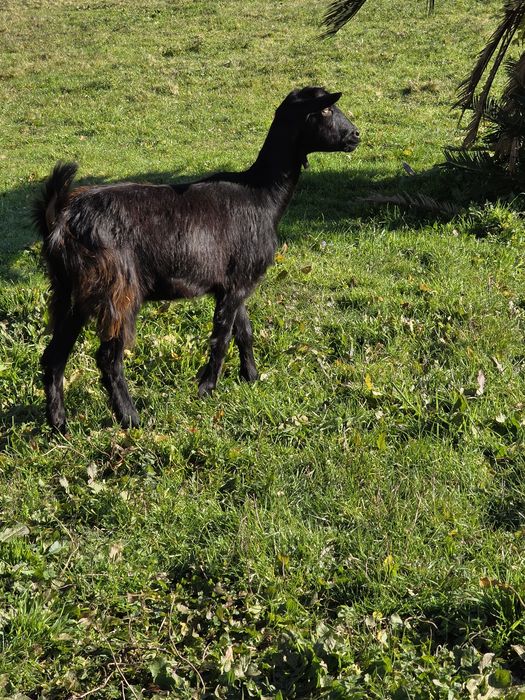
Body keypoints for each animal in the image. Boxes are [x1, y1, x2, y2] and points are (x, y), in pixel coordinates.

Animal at [33, 86, 359, 432]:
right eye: (326, 109)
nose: (356, 135)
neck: (262, 195)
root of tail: (61, 218)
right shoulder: (235, 285)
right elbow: (222, 338)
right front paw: (206, 388)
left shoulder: (234, 282)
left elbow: (244, 332)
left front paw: (251, 376)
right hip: (117, 287)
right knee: (108, 357)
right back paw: (131, 418)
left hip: (72, 290)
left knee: (54, 355)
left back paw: (59, 423)